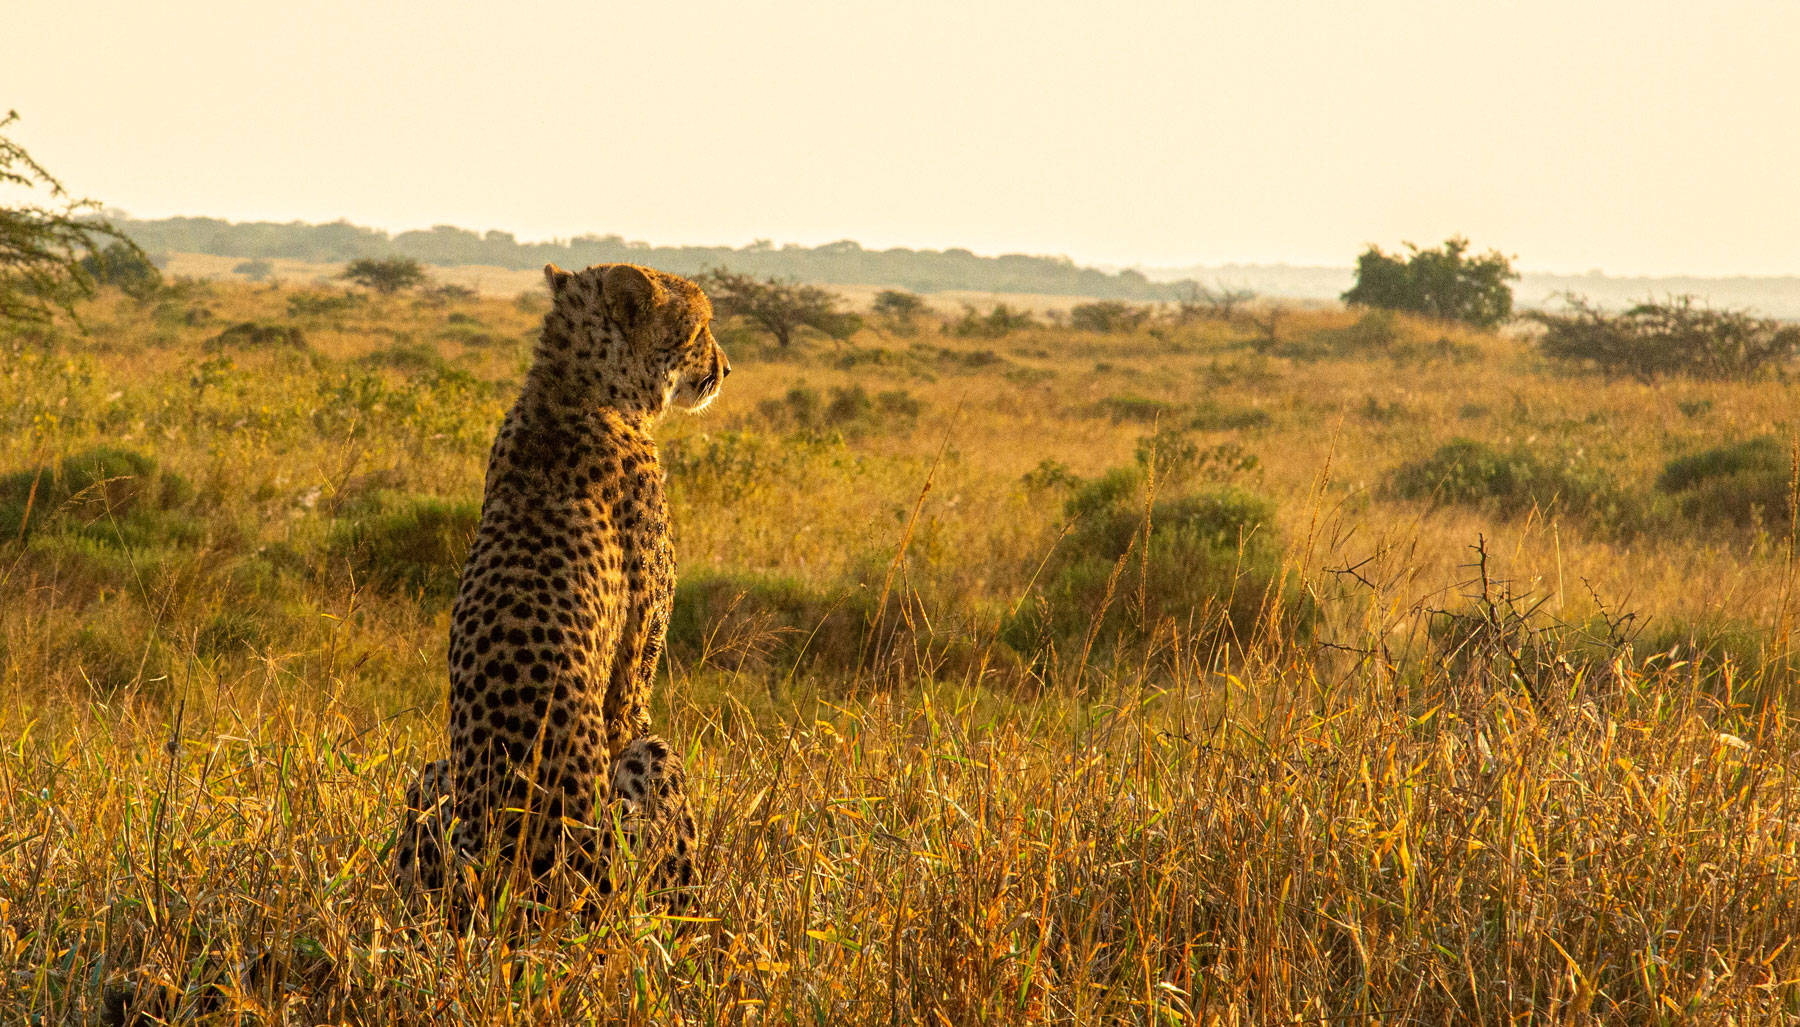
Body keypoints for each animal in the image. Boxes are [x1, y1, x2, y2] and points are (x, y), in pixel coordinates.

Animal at [397, 260, 727, 913]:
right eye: (700, 327)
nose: (725, 368)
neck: (575, 387)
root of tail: (515, 865)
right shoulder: (639, 649)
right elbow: (629, 706)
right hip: (636, 825)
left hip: (434, 785)